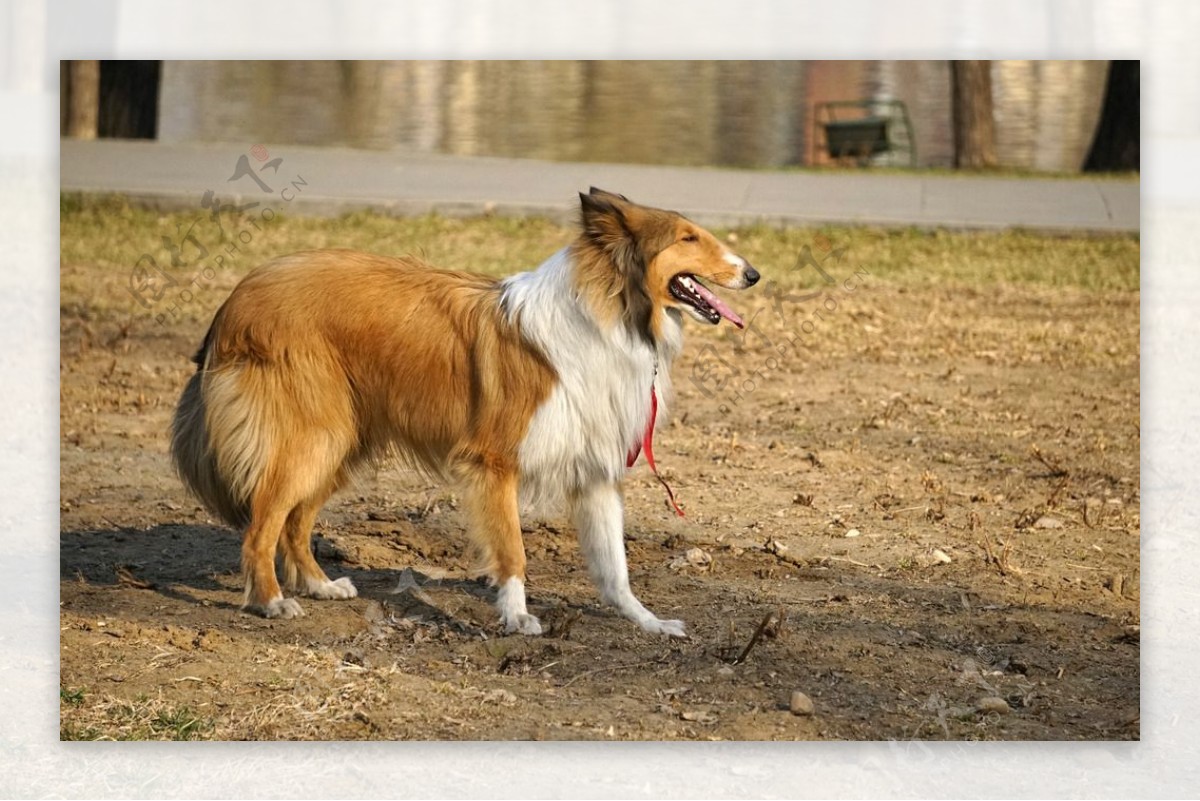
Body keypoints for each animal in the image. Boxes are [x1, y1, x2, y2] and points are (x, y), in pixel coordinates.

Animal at [171, 189, 758, 637]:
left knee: (294, 519)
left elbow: (616, 568)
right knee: (261, 524)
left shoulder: (594, 471)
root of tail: (236, 298)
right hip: (313, 437)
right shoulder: (494, 464)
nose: (752, 273)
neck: (609, 318)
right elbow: (513, 552)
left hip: (341, 441)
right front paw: (517, 619)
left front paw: (649, 623)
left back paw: (319, 585)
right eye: (687, 238)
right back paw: (270, 601)